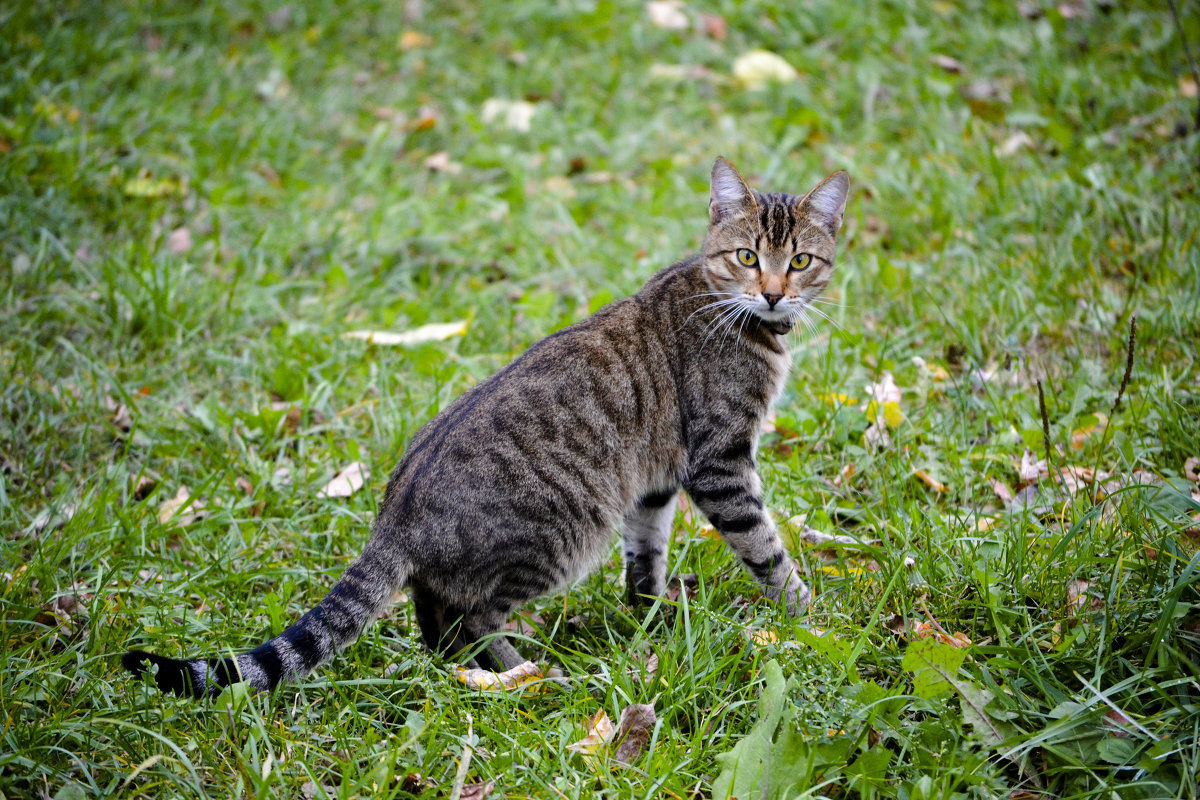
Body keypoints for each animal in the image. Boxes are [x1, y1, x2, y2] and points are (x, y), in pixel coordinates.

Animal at [126, 155, 849, 695]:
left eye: (800, 261)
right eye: (748, 257)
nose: (775, 293)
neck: (736, 312)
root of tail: (393, 519)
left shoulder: (654, 482)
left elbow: (645, 556)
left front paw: (652, 618)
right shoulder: (720, 461)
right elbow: (767, 550)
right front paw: (809, 621)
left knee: (436, 618)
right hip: (561, 533)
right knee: (476, 616)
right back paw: (528, 674)